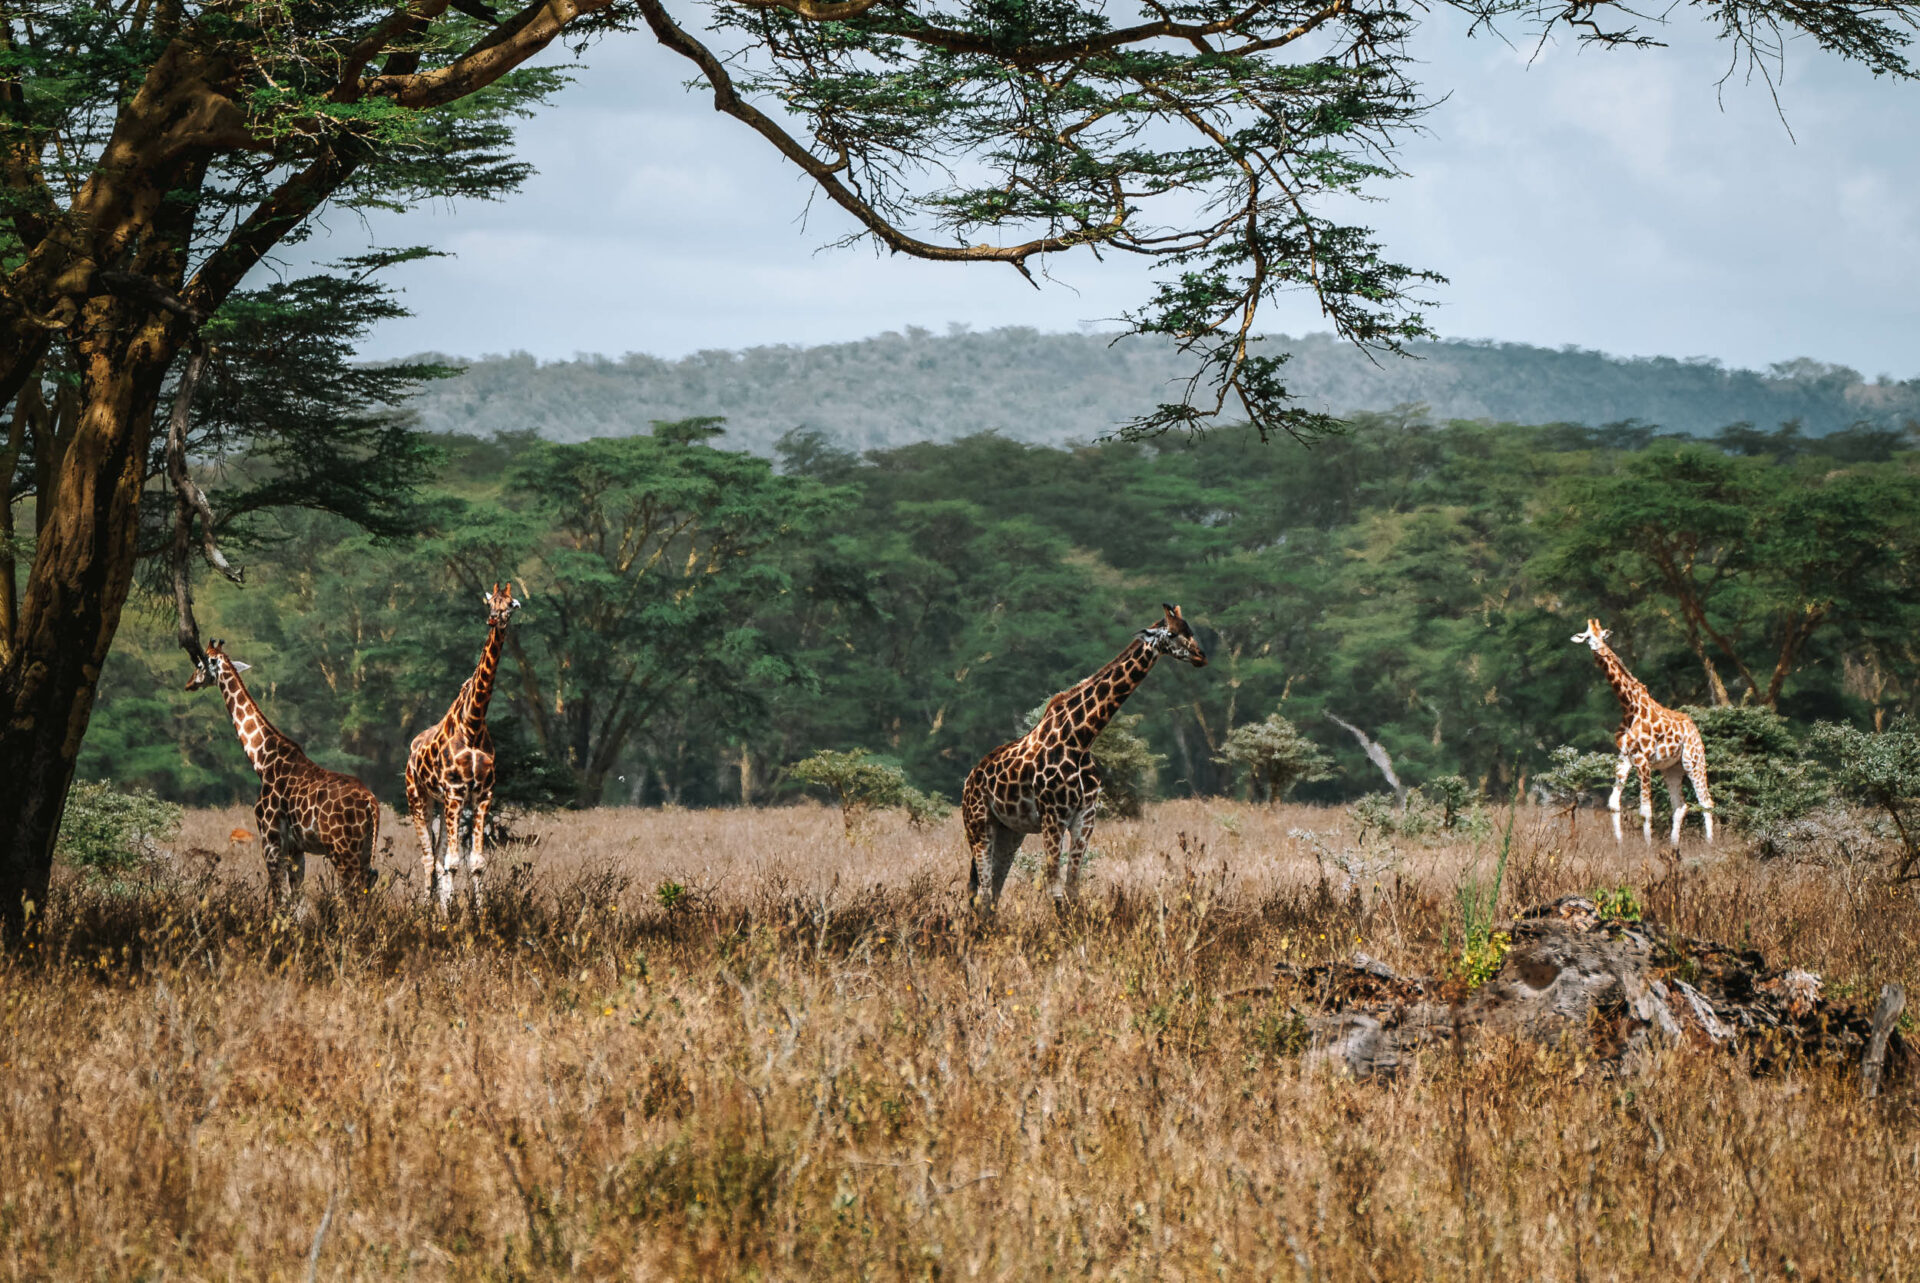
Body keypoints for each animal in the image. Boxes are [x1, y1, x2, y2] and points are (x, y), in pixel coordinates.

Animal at [185, 637, 380, 902]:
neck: (263, 760)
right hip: (366, 850)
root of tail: (372, 805)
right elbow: (295, 897)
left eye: (200, 664)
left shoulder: (271, 839)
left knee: (354, 896)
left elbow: (278, 897)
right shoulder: (296, 848)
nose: (188, 684)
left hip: (343, 850)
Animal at [405, 580, 522, 910]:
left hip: (443, 804)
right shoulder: (456, 792)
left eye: (510, 606)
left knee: (439, 858)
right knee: (429, 860)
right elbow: (453, 863)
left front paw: (476, 915)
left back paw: (441, 910)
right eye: (490, 603)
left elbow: (474, 863)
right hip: (418, 798)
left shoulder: (481, 795)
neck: (473, 725)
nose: (494, 619)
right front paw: (452, 916)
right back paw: (427, 911)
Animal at [967, 606, 1205, 906]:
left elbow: (1072, 889)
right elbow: (1055, 891)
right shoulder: (1053, 816)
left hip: (1010, 831)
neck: (1081, 739)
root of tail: (968, 780)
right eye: (1172, 633)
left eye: (1190, 629)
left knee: (992, 893)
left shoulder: (1085, 817)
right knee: (983, 893)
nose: (1200, 656)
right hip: (978, 824)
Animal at [1574, 618, 1712, 841]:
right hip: (1671, 768)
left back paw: (1710, 844)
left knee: (1706, 802)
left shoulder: (1643, 759)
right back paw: (1674, 845)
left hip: (1693, 760)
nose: (1598, 648)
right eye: (1587, 637)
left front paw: (1647, 846)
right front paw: (1620, 845)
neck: (1629, 706)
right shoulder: (1624, 758)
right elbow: (1613, 804)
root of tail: (1695, 729)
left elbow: (1645, 809)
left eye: (1602, 635)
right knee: (1681, 806)